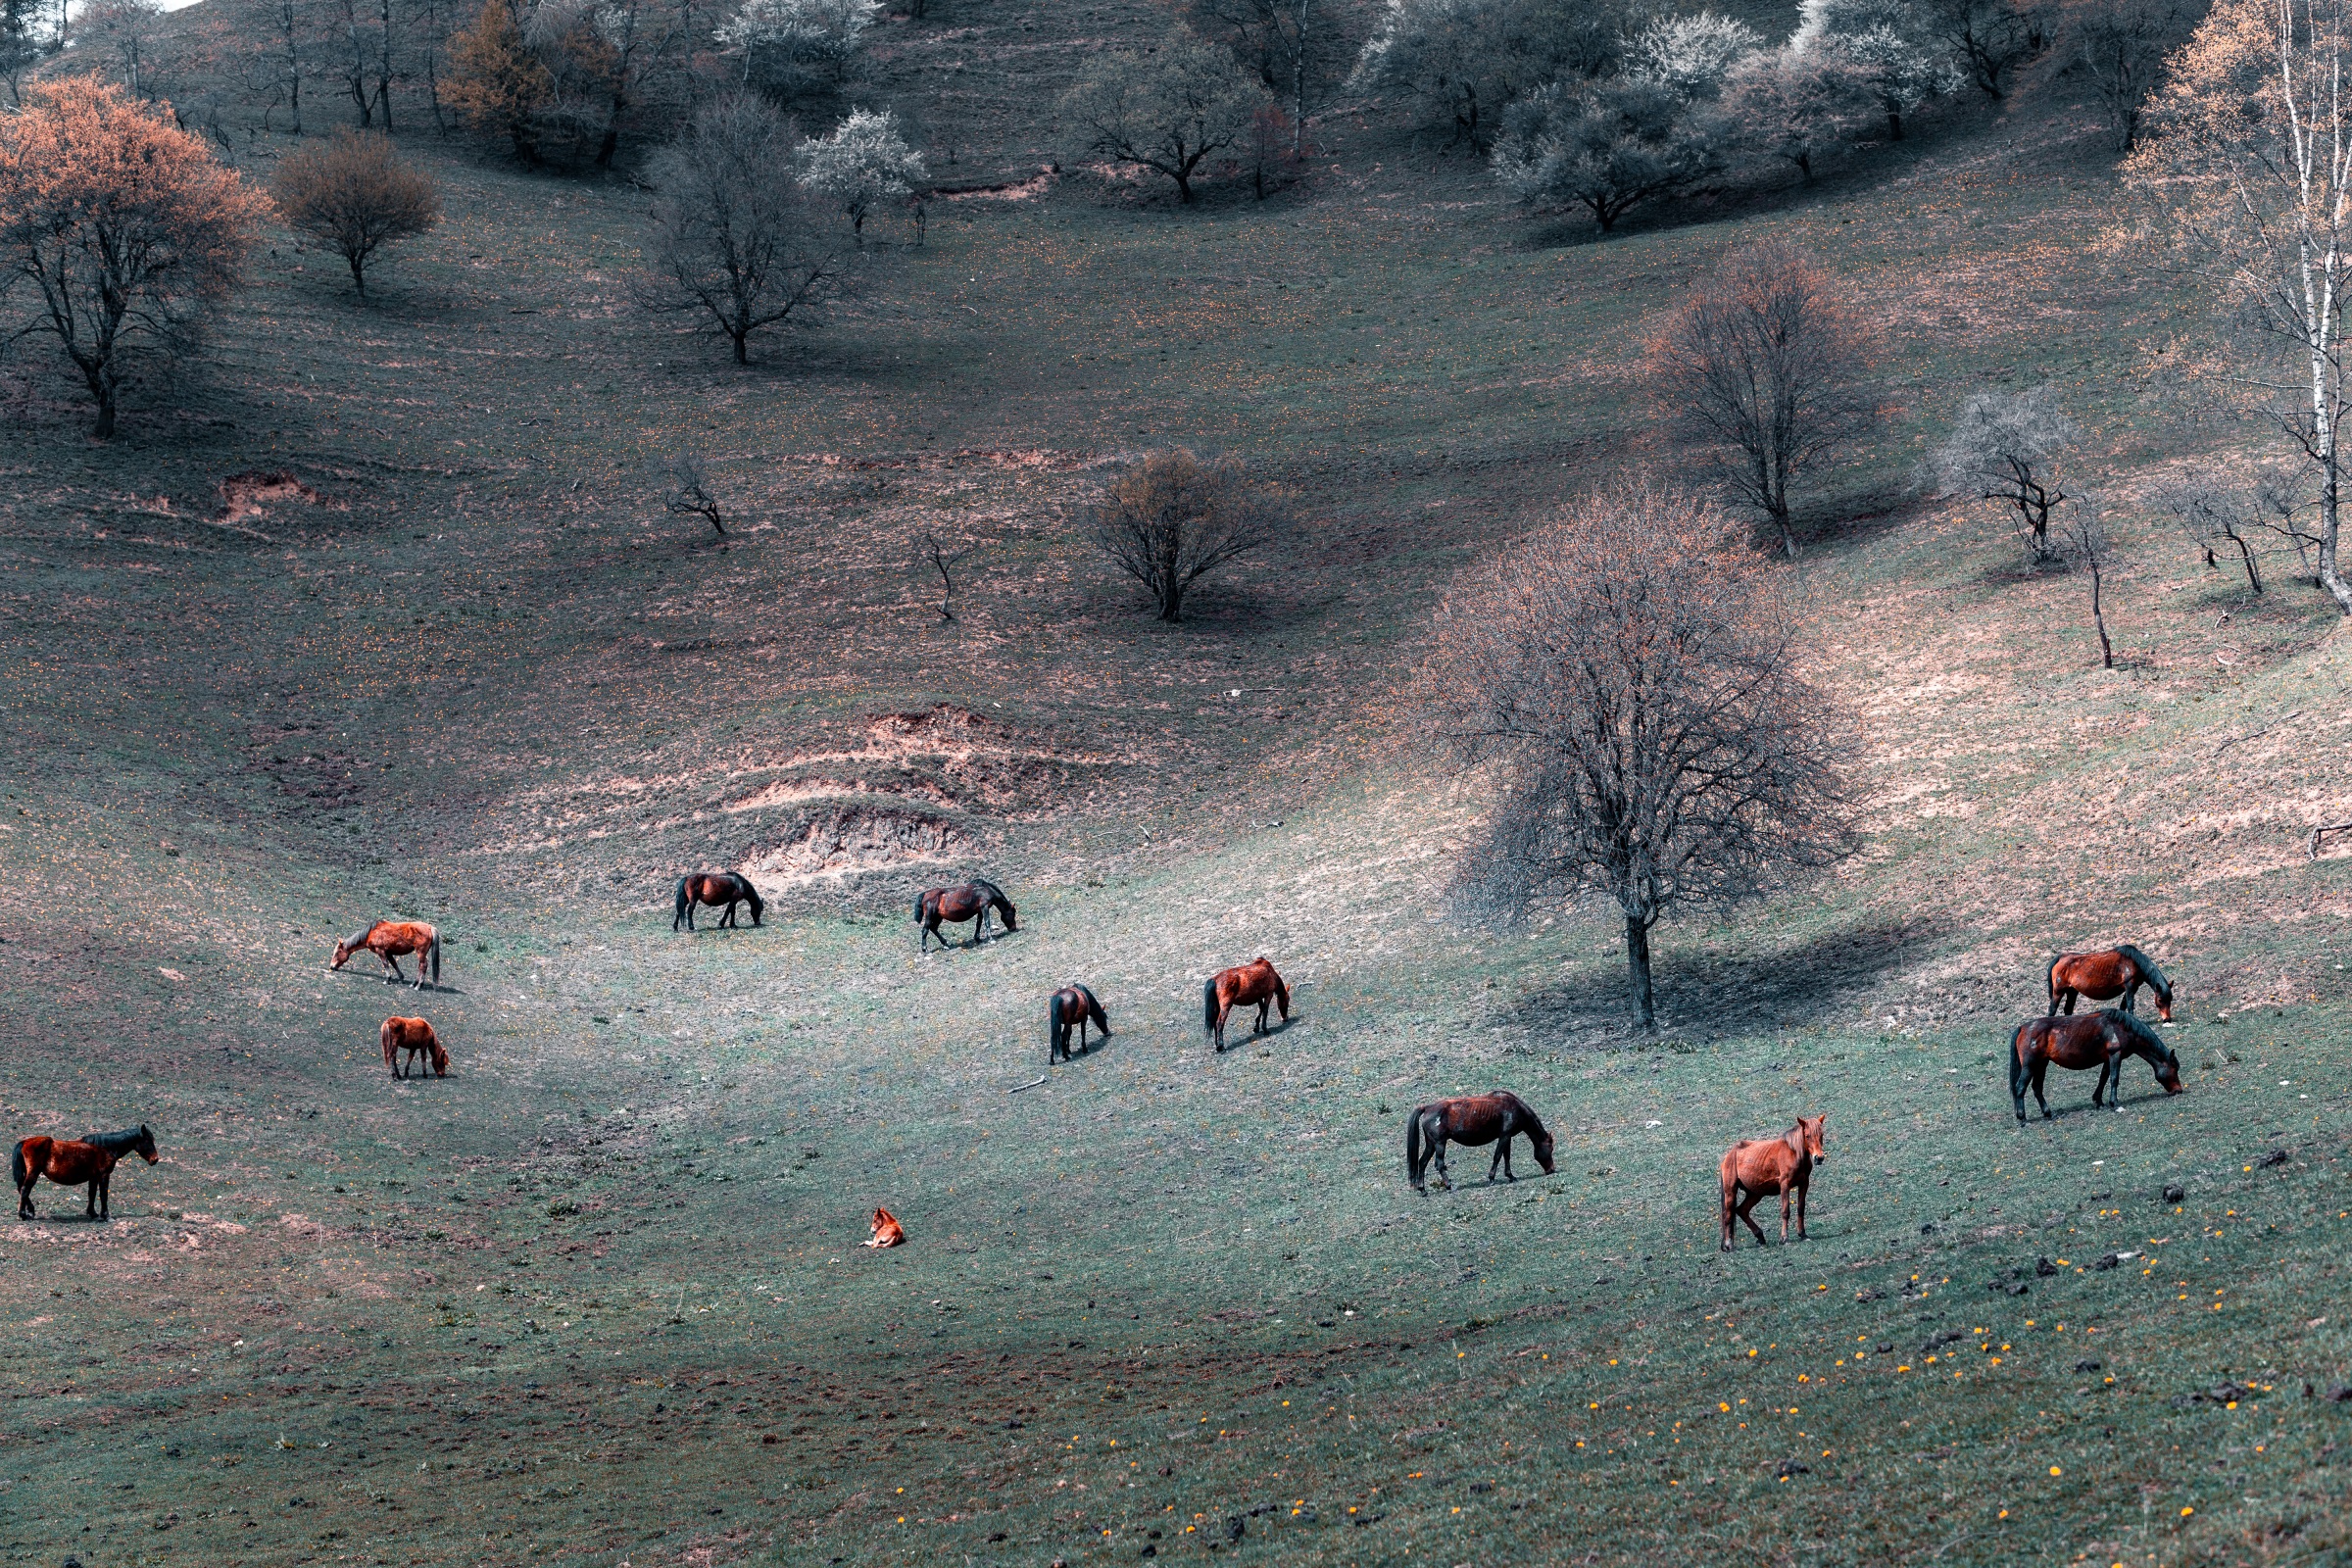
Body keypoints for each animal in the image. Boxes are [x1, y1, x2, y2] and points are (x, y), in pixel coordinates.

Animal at [14, 1128, 156, 1222]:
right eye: (148, 1140)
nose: (155, 1159)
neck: (106, 1147)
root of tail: (24, 1142)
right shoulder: (104, 1175)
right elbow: (103, 1195)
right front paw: (106, 1216)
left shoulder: (94, 1177)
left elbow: (92, 1194)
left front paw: (93, 1213)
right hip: (33, 1173)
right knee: (25, 1190)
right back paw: (23, 1214)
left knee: (21, 1189)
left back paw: (30, 1211)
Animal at [1401, 1091, 1552, 1189]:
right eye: (1551, 1148)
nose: (1551, 1170)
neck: (1514, 1107)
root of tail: (1427, 1108)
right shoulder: (1504, 1136)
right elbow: (1498, 1156)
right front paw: (1491, 1178)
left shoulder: (1507, 1137)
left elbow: (1506, 1157)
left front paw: (1511, 1176)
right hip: (1439, 1144)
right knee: (1439, 1164)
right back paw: (1449, 1185)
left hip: (1431, 1144)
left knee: (1422, 1162)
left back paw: (1422, 1189)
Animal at [1721, 1114, 1825, 1250]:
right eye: (1807, 1135)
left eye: (1822, 1134)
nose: (1819, 1158)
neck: (1794, 1153)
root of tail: (1729, 1156)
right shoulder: (1785, 1185)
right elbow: (1785, 1211)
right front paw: (1784, 1238)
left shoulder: (1804, 1183)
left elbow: (1801, 1208)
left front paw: (1803, 1235)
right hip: (1730, 1191)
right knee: (1728, 1216)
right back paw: (1729, 1244)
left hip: (1755, 1194)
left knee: (1741, 1210)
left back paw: (1760, 1237)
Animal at [2003, 1010, 2182, 1123]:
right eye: (2175, 1069)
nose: (2179, 1090)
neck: (2122, 1027)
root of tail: (2022, 1028)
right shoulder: (2115, 1055)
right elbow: (2114, 1078)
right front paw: (2114, 1102)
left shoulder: (2107, 1059)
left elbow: (2103, 1078)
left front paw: (2099, 1101)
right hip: (2030, 1066)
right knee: (2020, 1088)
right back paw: (2022, 1118)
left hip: (2041, 1065)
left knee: (2037, 1088)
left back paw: (2048, 1113)